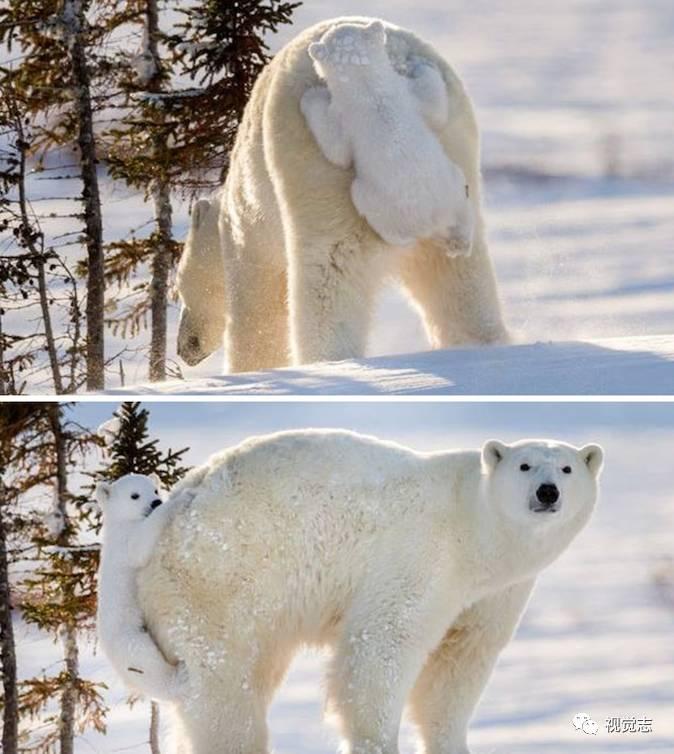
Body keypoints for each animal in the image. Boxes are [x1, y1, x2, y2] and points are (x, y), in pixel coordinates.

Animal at [94, 472, 186, 704]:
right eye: (134, 495)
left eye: (154, 489)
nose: (156, 502)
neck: (119, 524)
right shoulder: (126, 541)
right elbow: (140, 546)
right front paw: (180, 499)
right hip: (129, 638)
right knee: (147, 662)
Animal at [134, 428, 600, 752]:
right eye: (524, 466)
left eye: (567, 468)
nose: (547, 492)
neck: (475, 527)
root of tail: (176, 505)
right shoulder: (422, 555)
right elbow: (384, 644)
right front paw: (377, 741)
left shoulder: (495, 593)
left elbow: (458, 664)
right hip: (219, 580)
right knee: (225, 685)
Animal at [300, 19, 472, 250]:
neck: (370, 90)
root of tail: (434, 221)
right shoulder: (407, 94)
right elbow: (435, 108)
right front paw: (421, 64)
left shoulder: (345, 116)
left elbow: (337, 151)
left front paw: (310, 95)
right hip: (452, 187)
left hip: (380, 204)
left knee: (363, 199)